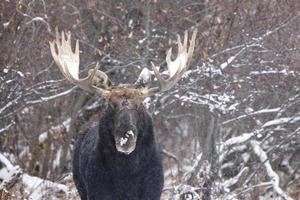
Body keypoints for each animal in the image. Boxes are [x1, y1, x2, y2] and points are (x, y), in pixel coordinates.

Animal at [49, 27, 197, 199]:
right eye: (110, 104)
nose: (125, 138)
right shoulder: (96, 192)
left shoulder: (152, 192)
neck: (127, 176)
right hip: (80, 187)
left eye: (140, 105)